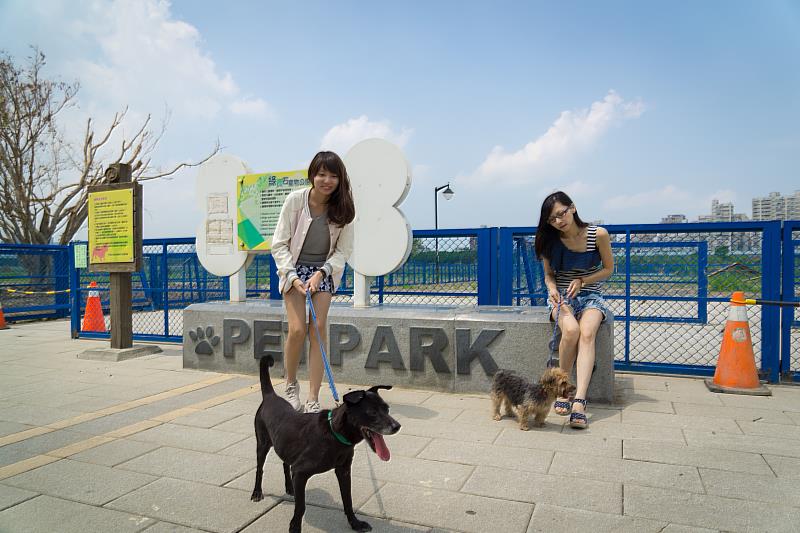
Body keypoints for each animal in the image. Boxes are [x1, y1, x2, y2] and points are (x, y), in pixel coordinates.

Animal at [250, 356, 400, 528]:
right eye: (372, 412)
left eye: (387, 409)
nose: (397, 426)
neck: (334, 433)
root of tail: (270, 396)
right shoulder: (300, 472)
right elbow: (300, 507)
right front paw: (295, 527)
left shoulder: (344, 470)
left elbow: (347, 500)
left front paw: (355, 524)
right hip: (262, 444)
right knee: (260, 469)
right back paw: (257, 492)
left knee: (285, 464)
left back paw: (290, 488)